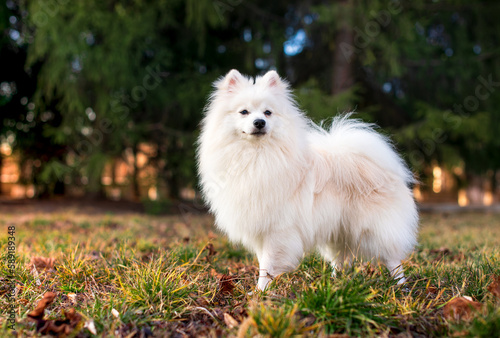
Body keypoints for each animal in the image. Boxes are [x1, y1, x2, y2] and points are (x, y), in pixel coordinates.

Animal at [195, 69, 418, 290]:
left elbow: (268, 264)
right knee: (340, 260)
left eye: (268, 113)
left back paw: (401, 286)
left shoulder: (278, 230)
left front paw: (260, 292)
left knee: (393, 259)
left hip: (375, 229)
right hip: (338, 230)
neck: (256, 155)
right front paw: (260, 290)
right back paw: (335, 283)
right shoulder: (261, 227)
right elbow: (262, 262)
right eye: (244, 112)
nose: (259, 122)